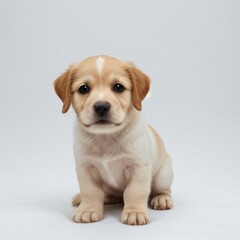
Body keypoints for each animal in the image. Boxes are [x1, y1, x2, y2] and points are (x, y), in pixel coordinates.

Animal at [53, 54, 173, 225]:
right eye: (84, 88)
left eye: (118, 87)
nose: (101, 107)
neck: (106, 137)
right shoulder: (85, 167)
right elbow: (90, 191)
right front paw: (88, 209)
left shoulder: (138, 167)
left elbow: (135, 192)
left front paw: (135, 212)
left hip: (163, 175)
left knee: (162, 189)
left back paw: (161, 199)